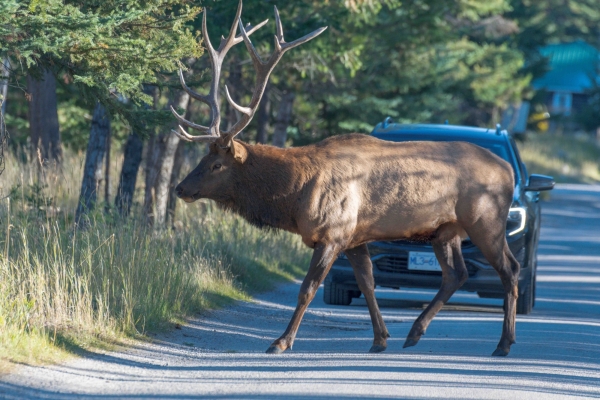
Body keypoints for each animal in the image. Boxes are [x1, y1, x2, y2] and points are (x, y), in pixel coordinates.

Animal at [172, 0, 520, 356]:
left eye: (217, 165)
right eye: (203, 157)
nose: (180, 188)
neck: (293, 197)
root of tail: (508, 170)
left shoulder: (333, 232)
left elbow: (308, 288)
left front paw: (281, 341)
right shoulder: (355, 237)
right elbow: (367, 283)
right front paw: (380, 339)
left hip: (485, 220)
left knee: (510, 269)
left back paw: (504, 343)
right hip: (445, 229)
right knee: (455, 274)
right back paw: (414, 332)